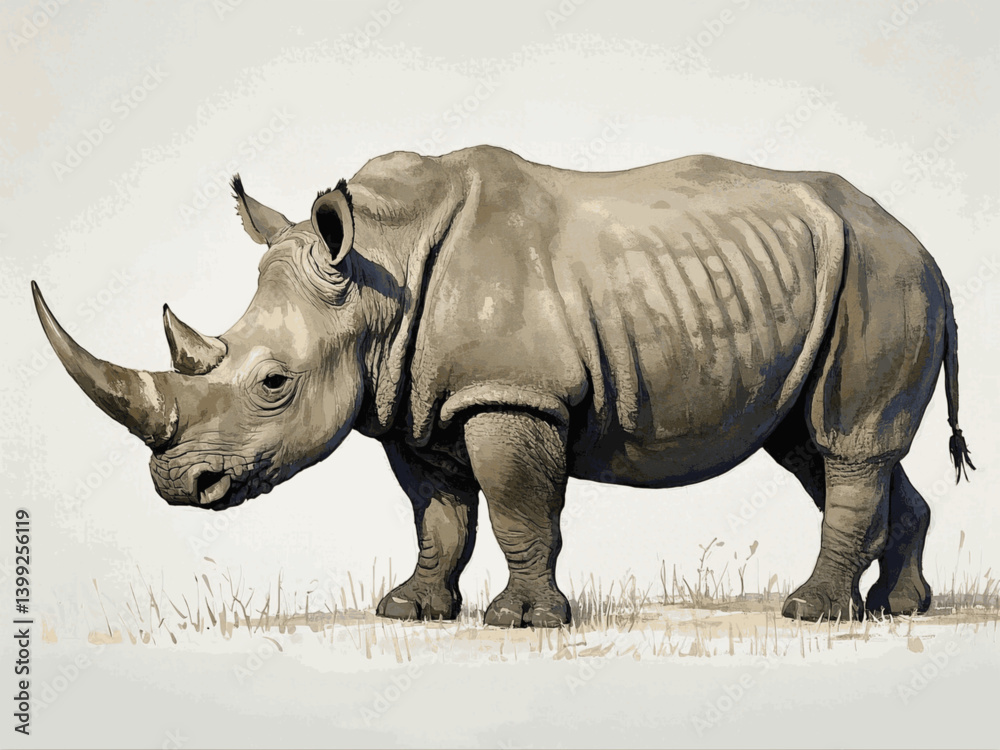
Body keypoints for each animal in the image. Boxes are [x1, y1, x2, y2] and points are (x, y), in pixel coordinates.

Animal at [33, 145, 975, 626]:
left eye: (273, 382)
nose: (174, 483)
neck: (378, 269)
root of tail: (924, 244)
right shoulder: (415, 402)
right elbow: (440, 516)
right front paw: (410, 611)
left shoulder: (509, 391)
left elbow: (520, 506)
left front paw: (522, 623)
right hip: (842, 281)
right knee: (812, 445)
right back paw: (901, 610)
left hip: (881, 276)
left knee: (846, 443)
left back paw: (812, 614)